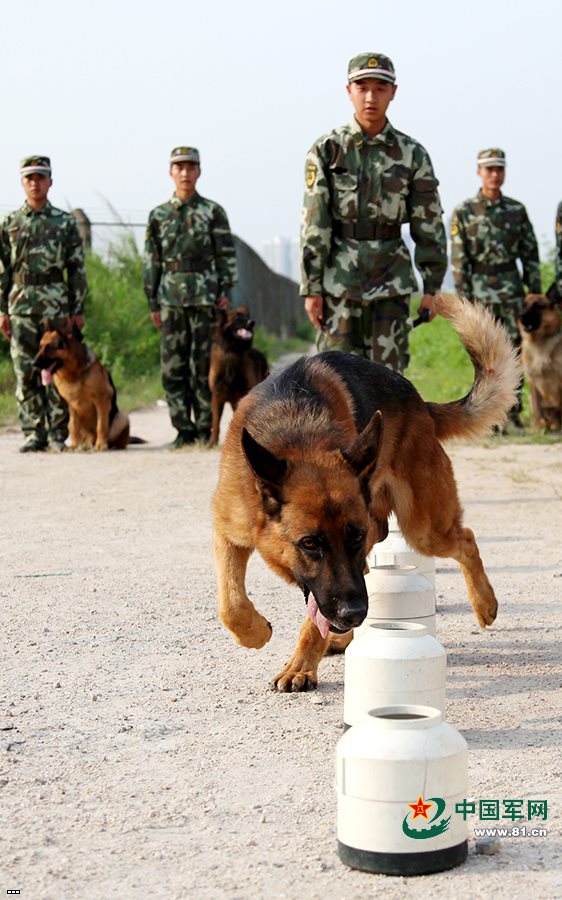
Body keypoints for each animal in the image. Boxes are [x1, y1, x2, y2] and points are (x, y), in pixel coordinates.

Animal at [34, 322, 131, 450]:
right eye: (40, 347)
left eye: (50, 347)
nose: (33, 363)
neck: (74, 373)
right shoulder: (72, 405)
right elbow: (73, 426)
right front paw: (75, 445)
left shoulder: (103, 400)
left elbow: (101, 425)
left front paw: (101, 445)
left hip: (122, 417)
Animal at [208, 306, 270, 446]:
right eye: (237, 317)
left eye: (247, 317)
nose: (252, 323)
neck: (233, 351)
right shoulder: (217, 396)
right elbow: (215, 422)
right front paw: (212, 442)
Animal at [516, 286, 560, 430]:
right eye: (523, 305)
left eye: (537, 306)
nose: (521, 316)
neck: (539, 341)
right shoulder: (533, 382)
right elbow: (536, 411)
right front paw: (536, 430)